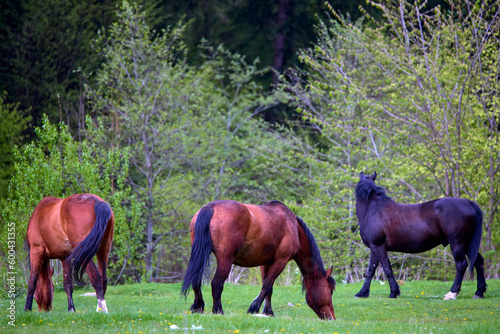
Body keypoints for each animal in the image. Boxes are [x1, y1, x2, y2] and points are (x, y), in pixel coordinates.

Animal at [180, 200, 336, 320]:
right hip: (225, 260)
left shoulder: (266, 263)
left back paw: (198, 307)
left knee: (196, 280)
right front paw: (254, 309)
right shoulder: (281, 261)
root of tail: (211, 207)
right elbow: (267, 286)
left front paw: (268, 312)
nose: (332, 318)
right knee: (217, 283)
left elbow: (269, 289)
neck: (293, 227)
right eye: (330, 291)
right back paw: (219, 311)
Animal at [354, 172, 486, 300]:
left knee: (461, 265)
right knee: (478, 261)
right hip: (467, 243)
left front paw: (393, 292)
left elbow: (387, 269)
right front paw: (362, 293)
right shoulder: (375, 247)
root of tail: (468, 202)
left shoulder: (378, 246)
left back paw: (451, 293)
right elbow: (370, 270)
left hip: (457, 243)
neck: (373, 210)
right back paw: (479, 292)